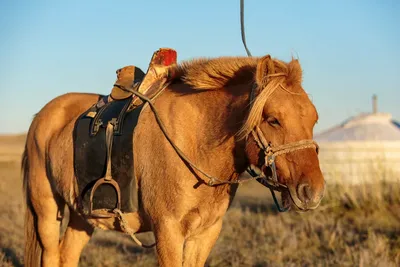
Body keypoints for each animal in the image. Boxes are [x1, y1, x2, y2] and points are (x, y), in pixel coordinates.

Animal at [21, 55, 324, 267]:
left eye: (314, 118)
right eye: (273, 119)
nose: (313, 192)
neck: (196, 140)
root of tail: (41, 116)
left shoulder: (205, 233)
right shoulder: (168, 231)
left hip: (83, 215)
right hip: (46, 210)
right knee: (51, 255)